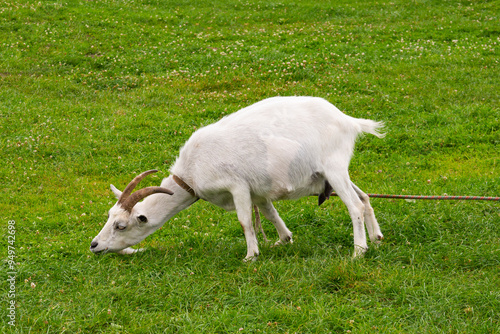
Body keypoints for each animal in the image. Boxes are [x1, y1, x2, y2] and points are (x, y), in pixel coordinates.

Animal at [90, 95, 384, 260]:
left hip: (334, 167)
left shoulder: (237, 186)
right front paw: (283, 240)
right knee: (364, 197)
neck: (191, 172)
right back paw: (376, 238)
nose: (94, 245)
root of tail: (349, 121)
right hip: (332, 172)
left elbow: (245, 221)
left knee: (354, 205)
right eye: (109, 216)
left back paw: (358, 251)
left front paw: (251, 256)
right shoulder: (259, 192)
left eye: (121, 226)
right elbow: (269, 214)